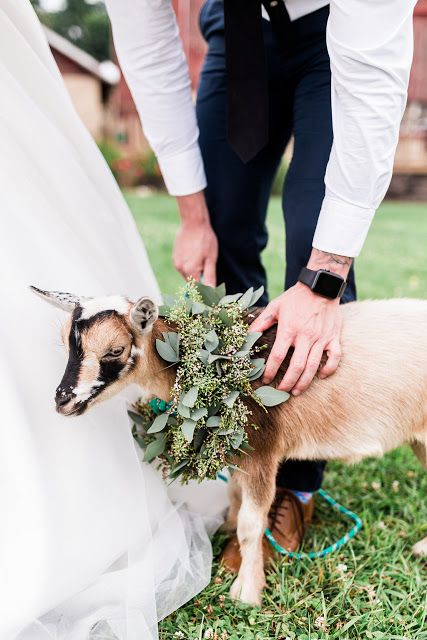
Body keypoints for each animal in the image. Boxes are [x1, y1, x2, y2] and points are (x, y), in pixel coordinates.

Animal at [30, 288, 427, 608]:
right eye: (65, 342)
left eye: (115, 349)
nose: (63, 401)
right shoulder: (237, 452)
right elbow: (235, 496)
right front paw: (226, 529)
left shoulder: (261, 449)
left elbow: (253, 524)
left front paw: (247, 592)